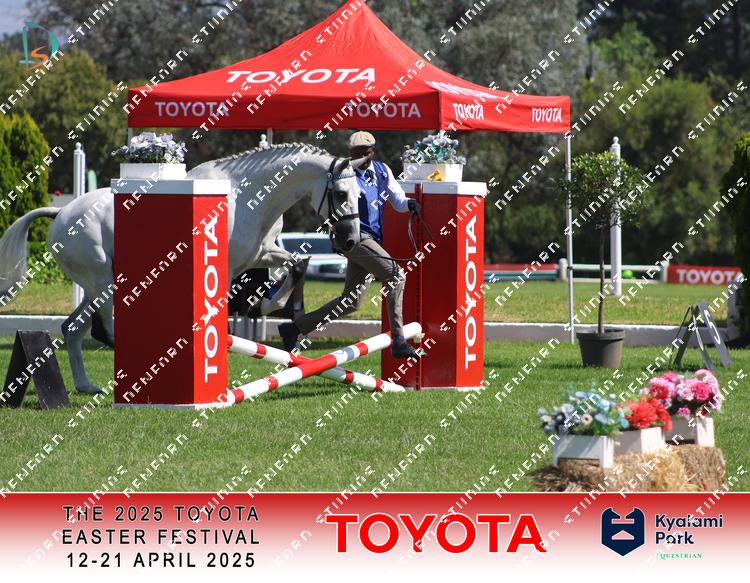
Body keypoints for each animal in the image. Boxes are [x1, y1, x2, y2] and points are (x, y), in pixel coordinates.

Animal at [0, 143, 365, 395]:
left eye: (361, 194)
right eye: (340, 193)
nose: (350, 240)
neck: (249, 197)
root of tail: (61, 213)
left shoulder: (261, 254)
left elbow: (296, 265)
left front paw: (267, 306)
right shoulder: (227, 268)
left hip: (94, 285)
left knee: (73, 328)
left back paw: (87, 386)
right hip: (101, 280)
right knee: (104, 327)